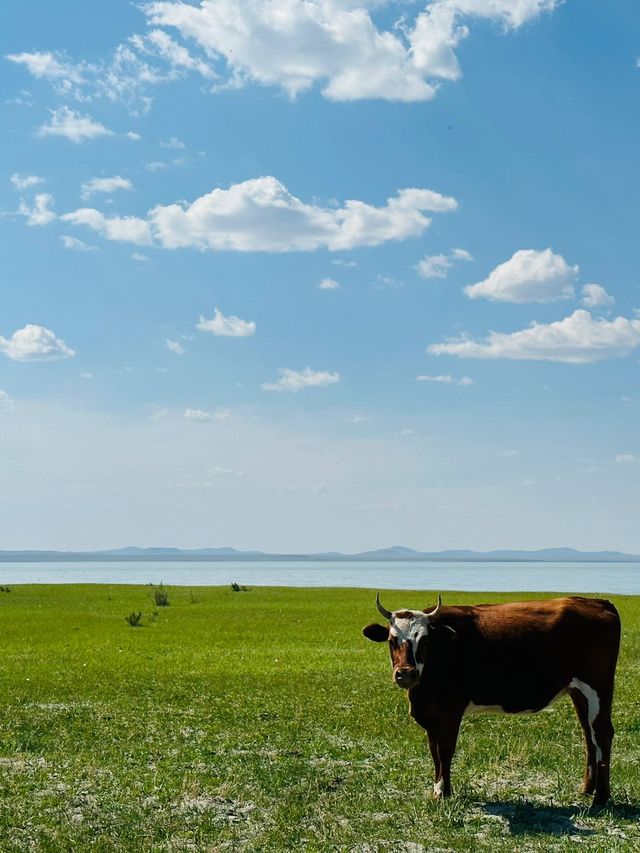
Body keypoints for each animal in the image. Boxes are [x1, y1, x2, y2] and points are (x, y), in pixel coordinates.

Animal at [364, 592, 620, 804]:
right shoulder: (430, 714)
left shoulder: (450, 709)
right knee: (589, 734)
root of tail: (597, 602)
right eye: (391, 640)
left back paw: (601, 798)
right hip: (579, 691)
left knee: (602, 734)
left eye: (425, 641)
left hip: (598, 687)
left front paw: (444, 792)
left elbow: (445, 750)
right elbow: (434, 752)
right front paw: (438, 789)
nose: (406, 673)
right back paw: (586, 789)